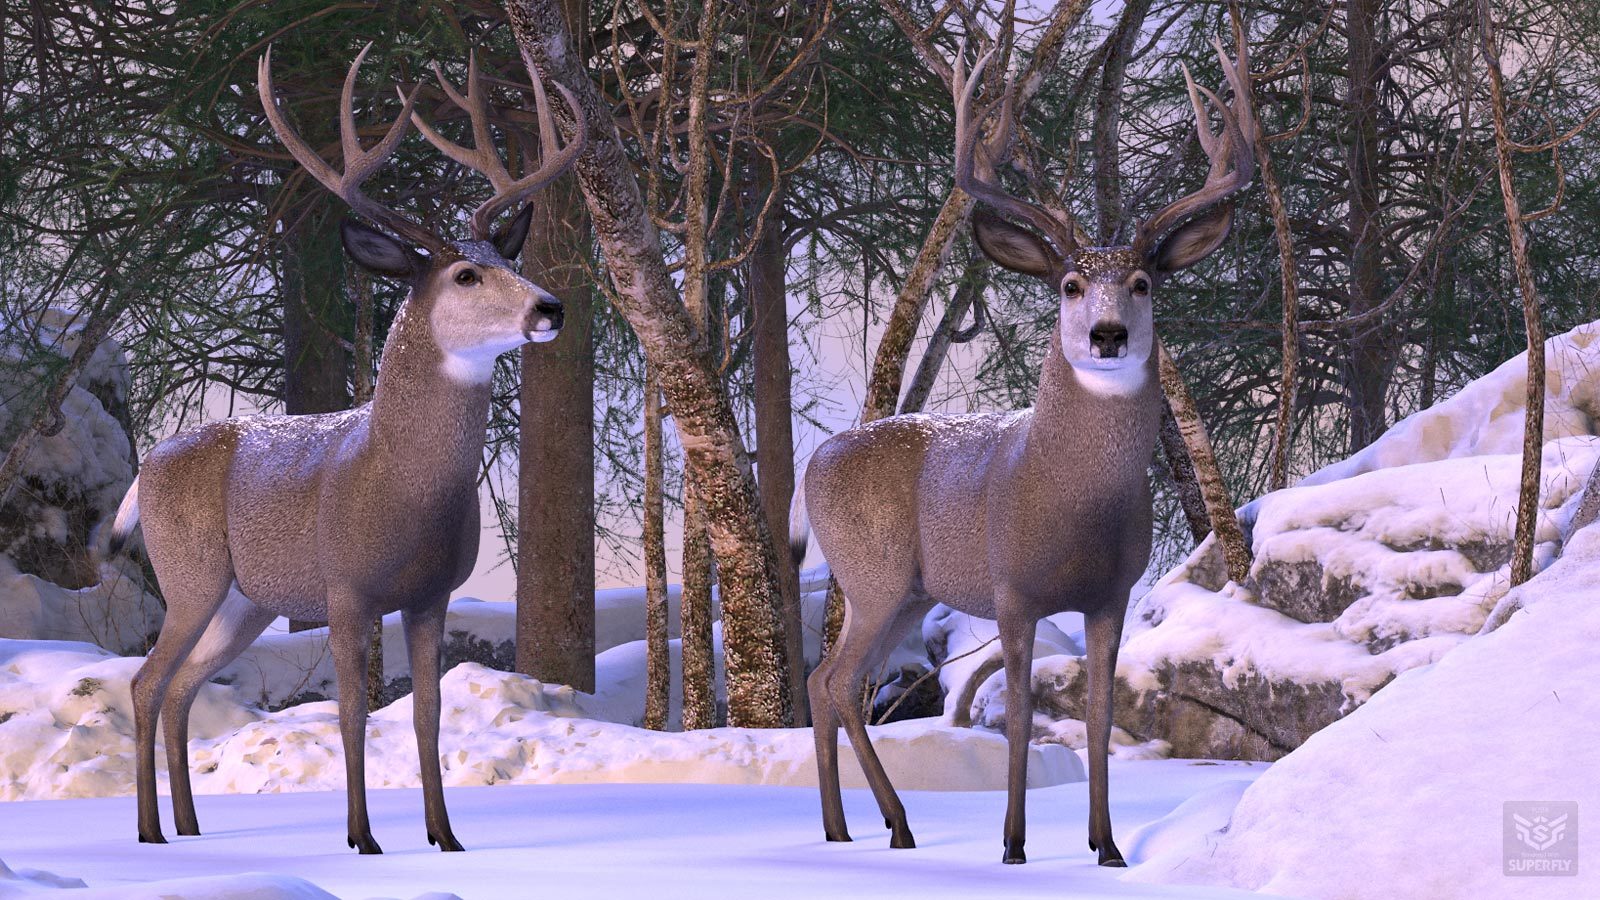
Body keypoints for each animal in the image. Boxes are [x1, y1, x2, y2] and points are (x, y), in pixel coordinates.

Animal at [107, 45, 586, 854]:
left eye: (509, 258)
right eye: (466, 273)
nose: (549, 307)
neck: (399, 489)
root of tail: (147, 466)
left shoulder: (431, 595)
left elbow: (426, 717)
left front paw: (446, 838)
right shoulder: (345, 588)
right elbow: (352, 713)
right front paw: (364, 839)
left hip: (245, 600)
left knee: (182, 687)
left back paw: (192, 829)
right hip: (192, 573)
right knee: (146, 682)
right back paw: (149, 834)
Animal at [791, 40, 1254, 867]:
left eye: (1143, 281)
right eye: (1069, 284)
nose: (1108, 333)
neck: (1075, 509)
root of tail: (814, 458)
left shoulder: (1112, 595)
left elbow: (1099, 716)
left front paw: (1108, 847)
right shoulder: (1011, 589)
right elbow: (1014, 724)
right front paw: (1012, 846)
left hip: (909, 590)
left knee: (831, 683)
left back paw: (847, 829)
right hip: (873, 573)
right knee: (838, 682)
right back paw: (893, 826)